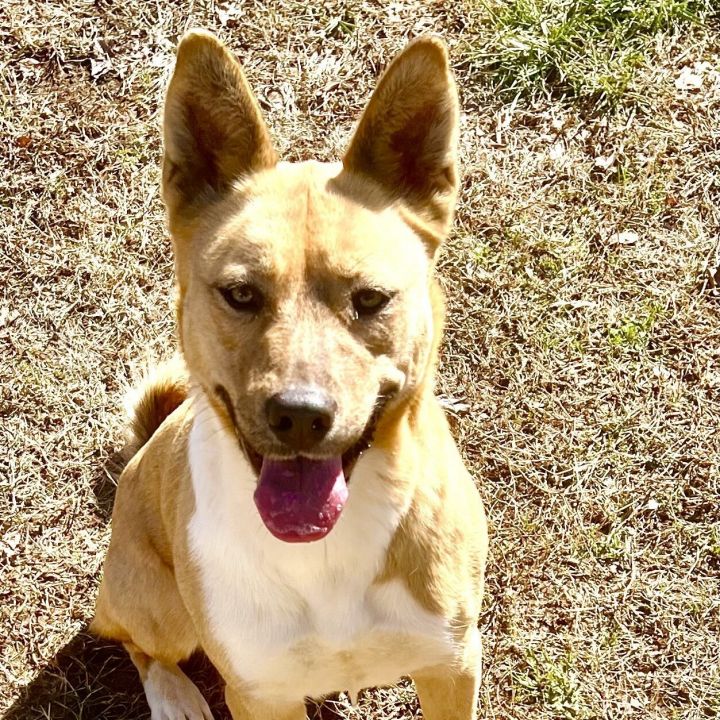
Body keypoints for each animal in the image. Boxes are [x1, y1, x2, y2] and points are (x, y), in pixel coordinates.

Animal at [93, 29, 490, 720]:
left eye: (371, 298)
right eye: (241, 294)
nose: (300, 416)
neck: (325, 553)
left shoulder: (452, 663)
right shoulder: (261, 692)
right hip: (159, 606)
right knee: (128, 635)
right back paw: (175, 696)